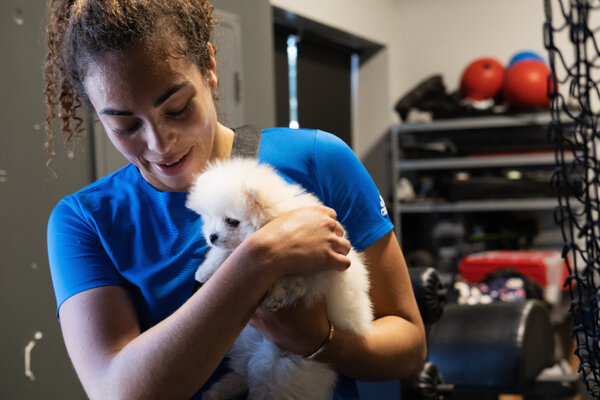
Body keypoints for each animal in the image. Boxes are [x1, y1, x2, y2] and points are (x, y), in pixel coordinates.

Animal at [186, 158, 376, 398]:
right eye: (209, 218)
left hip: (281, 366)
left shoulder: (315, 266)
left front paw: (274, 296)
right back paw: (218, 391)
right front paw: (206, 270)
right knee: (242, 373)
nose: (212, 237)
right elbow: (227, 254)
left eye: (232, 221)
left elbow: (288, 278)